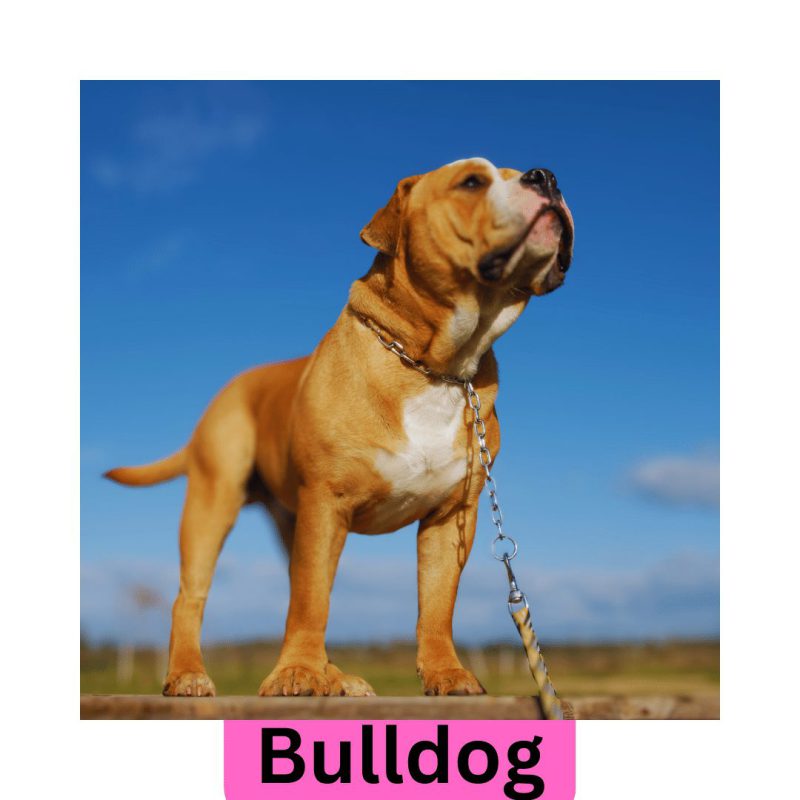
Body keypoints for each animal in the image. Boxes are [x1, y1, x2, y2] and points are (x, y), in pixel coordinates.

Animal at [104, 159, 576, 696]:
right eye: (472, 182)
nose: (546, 176)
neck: (434, 365)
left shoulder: (451, 516)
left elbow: (436, 604)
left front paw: (446, 672)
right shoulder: (325, 505)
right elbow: (311, 601)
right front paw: (296, 673)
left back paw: (338, 679)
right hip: (213, 502)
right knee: (195, 596)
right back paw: (188, 675)